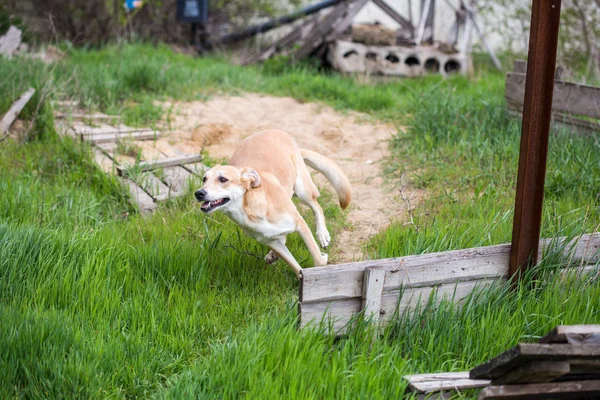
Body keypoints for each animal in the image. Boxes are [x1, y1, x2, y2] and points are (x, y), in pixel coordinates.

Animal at [195, 130, 350, 276]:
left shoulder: (300, 223)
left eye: (223, 179)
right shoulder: (272, 242)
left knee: (317, 207)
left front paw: (322, 261)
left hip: (303, 190)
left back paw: (322, 234)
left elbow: (318, 260)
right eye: (204, 179)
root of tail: (274, 130)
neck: (249, 210)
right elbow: (296, 267)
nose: (198, 193)